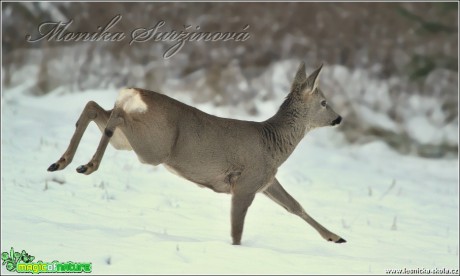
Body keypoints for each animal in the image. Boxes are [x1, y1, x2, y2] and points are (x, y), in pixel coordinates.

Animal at [46, 62, 344, 244]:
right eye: (324, 102)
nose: (339, 118)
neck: (274, 143)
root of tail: (133, 93)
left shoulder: (266, 181)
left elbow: (295, 205)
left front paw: (336, 237)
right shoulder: (246, 183)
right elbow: (237, 227)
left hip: (128, 142)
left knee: (94, 106)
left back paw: (63, 162)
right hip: (154, 148)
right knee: (114, 116)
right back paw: (87, 165)